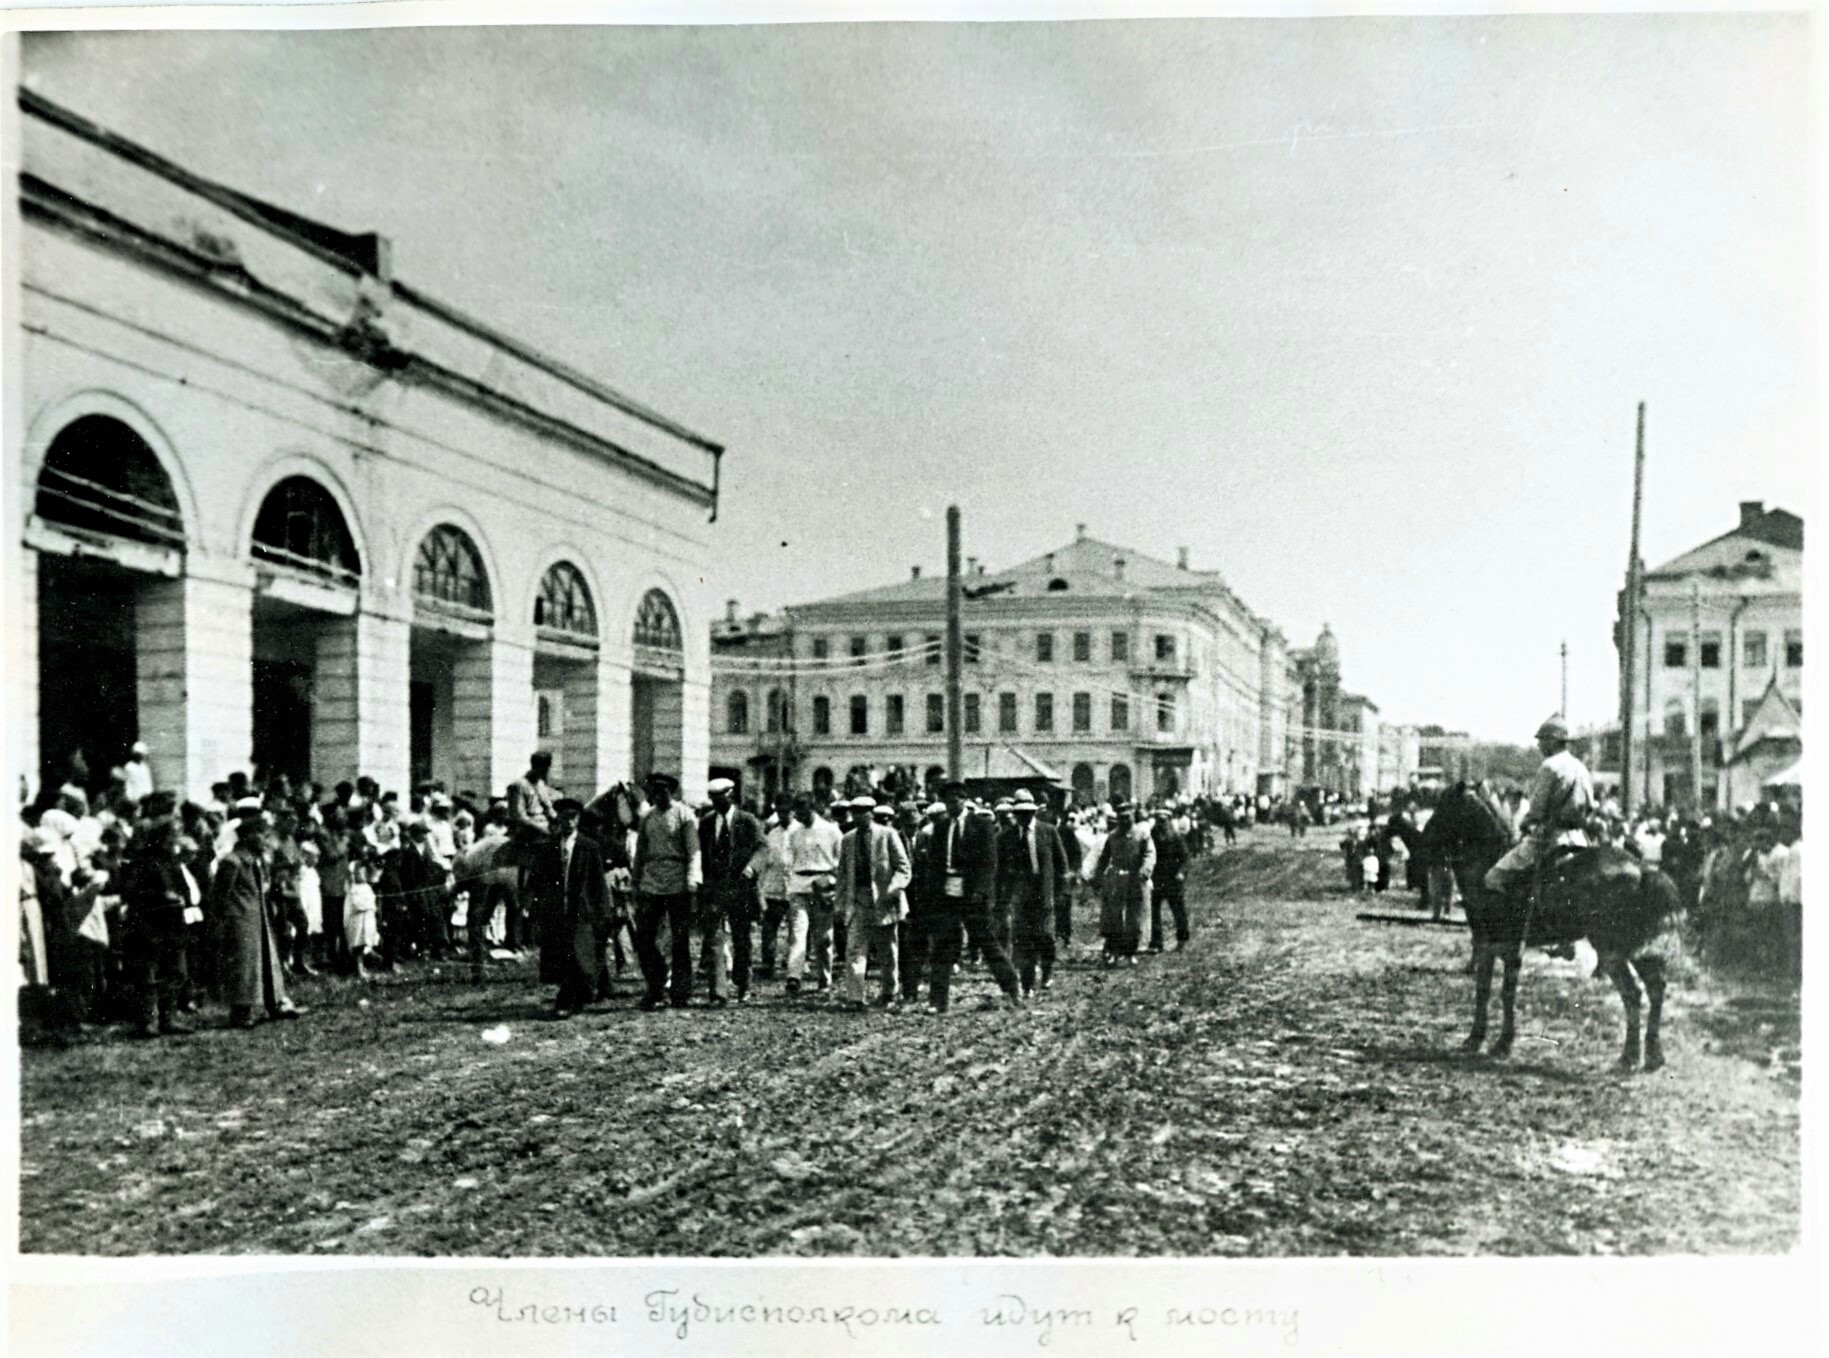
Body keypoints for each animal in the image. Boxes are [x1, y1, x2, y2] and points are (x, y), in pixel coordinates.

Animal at [1419, 786, 1675, 1076]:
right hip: (1635, 948)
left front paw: (1498, 1042)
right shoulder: (1492, 945)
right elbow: (1487, 990)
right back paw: (1653, 1056)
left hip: (1612, 951)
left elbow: (1502, 992)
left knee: (1633, 993)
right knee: (1655, 988)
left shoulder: (1501, 946)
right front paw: (1480, 1039)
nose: (1422, 844)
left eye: (1445, 808)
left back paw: (1628, 1057)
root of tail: (1643, 869)